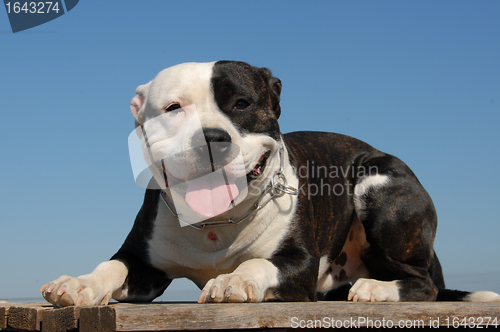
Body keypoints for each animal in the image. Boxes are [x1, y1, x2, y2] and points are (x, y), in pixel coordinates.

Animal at [40, 60, 500, 306]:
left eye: (242, 103)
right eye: (173, 108)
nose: (212, 138)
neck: (215, 224)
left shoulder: (298, 262)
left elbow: (259, 263)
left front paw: (233, 279)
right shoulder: (143, 264)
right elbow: (111, 266)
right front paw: (79, 283)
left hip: (377, 185)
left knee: (423, 283)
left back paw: (376, 289)